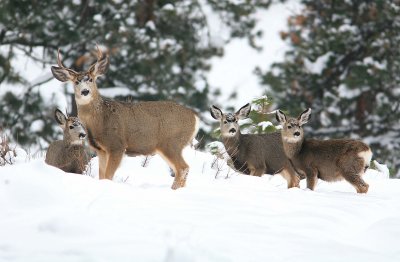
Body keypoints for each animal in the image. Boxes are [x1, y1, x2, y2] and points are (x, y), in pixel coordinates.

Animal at [51, 45, 198, 188]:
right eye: (76, 82)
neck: (100, 120)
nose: (85, 91)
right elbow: (102, 176)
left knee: (183, 168)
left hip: (171, 142)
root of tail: (195, 118)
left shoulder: (117, 145)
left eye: (91, 79)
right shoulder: (101, 150)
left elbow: (108, 176)